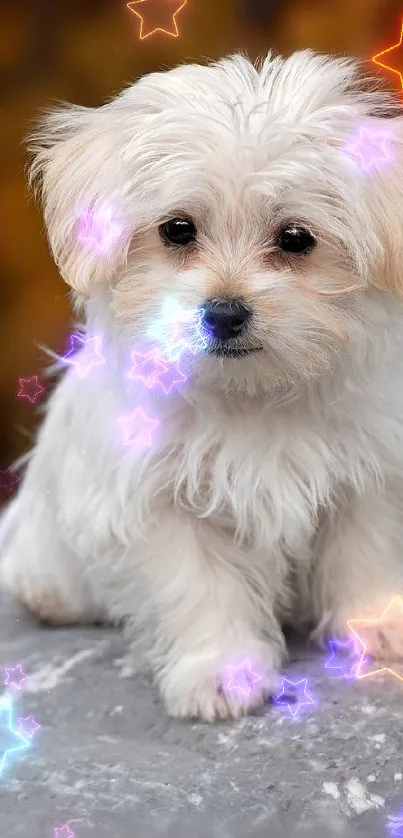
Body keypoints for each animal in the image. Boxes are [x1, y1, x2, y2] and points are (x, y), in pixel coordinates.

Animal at [2, 50, 403, 720]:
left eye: (296, 238)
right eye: (177, 230)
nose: (225, 312)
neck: (251, 393)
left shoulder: (368, 473)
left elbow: (365, 554)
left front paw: (377, 625)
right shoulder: (155, 500)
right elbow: (199, 586)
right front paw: (221, 672)